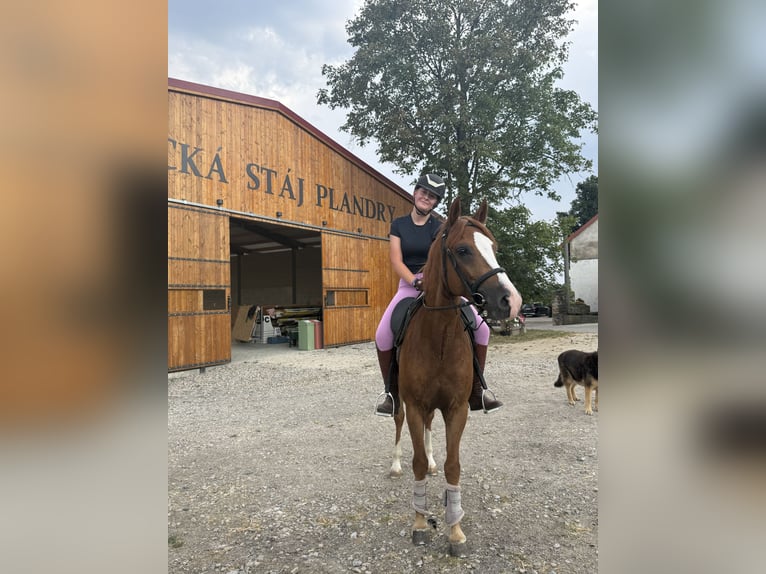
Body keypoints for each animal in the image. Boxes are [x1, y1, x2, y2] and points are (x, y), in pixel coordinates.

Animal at [392, 197, 522, 554]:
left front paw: (455, 530)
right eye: (463, 250)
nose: (512, 301)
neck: (438, 336)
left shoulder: (457, 408)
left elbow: (454, 464)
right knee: (398, 422)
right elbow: (416, 462)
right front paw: (420, 523)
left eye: (494, 247)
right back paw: (395, 464)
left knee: (428, 430)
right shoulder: (415, 404)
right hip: (402, 403)